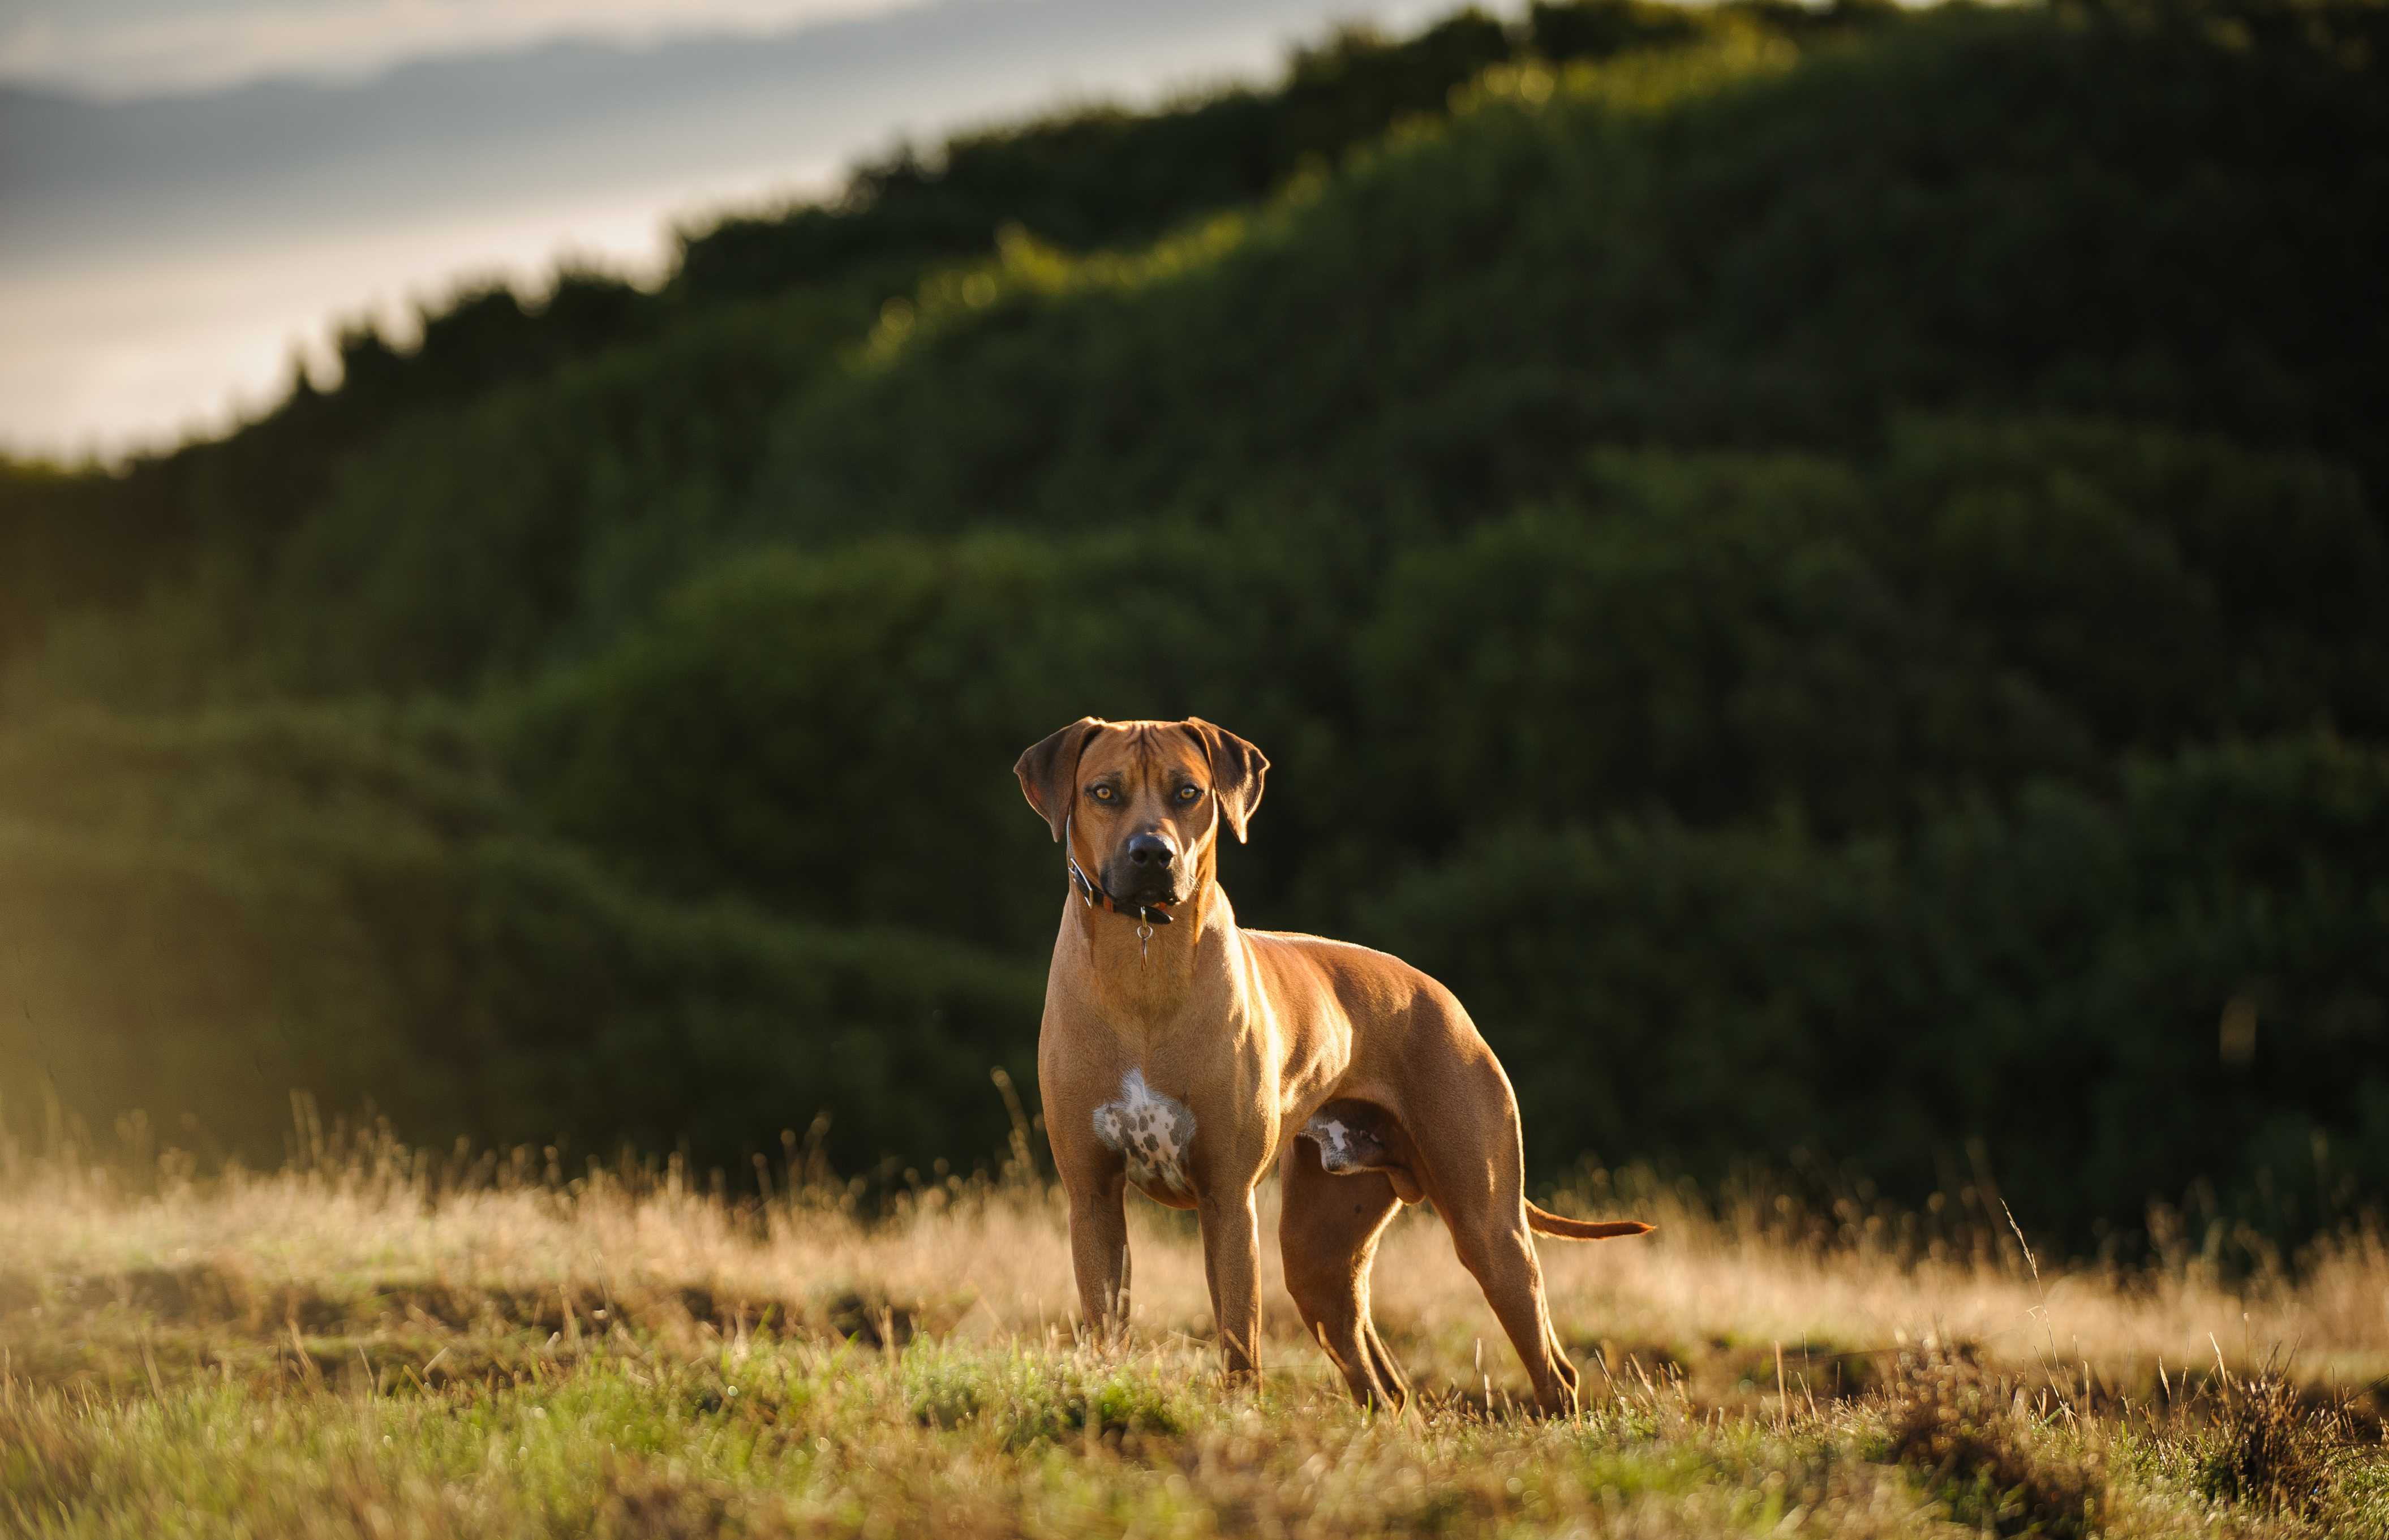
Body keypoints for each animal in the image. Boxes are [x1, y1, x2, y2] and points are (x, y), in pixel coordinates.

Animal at [1008, 716, 1643, 1413]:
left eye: (1187, 792)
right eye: (1103, 792)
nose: (1153, 854)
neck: (1144, 960)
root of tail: (1443, 996)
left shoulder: (1228, 1200)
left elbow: (1240, 1340)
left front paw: (1240, 1416)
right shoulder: (1093, 1196)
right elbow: (1106, 1326)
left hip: (1489, 1225)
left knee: (1554, 1369)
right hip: (1319, 1254)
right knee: (1386, 1386)